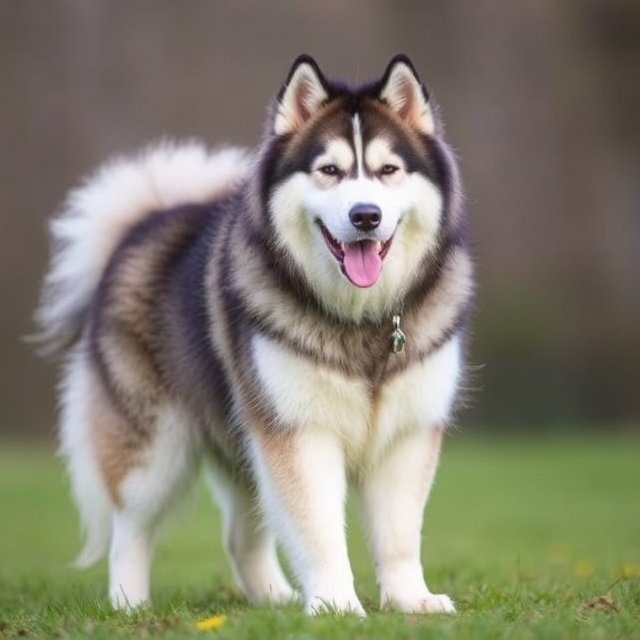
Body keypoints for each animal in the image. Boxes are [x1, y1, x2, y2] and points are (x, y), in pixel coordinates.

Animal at [36, 53, 476, 616]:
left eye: (387, 171)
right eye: (329, 171)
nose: (365, 215)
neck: (361, 318)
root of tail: (147, 220)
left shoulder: (408, 432)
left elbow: (399, 534)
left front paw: (409, 600)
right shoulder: (299, 431)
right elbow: (319, 529)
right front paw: (336, 606)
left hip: (244, 445)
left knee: (241, 535)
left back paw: (274, 599)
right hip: (153, 448)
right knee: (128, 528)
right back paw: (129, 603)